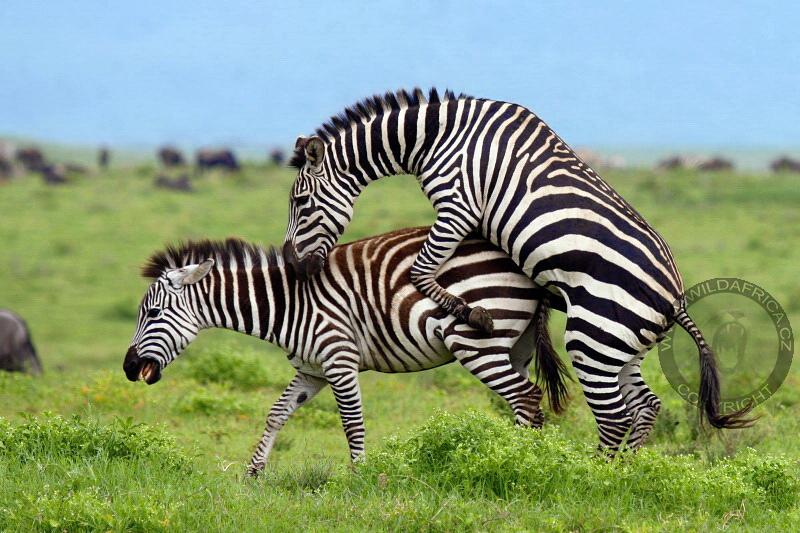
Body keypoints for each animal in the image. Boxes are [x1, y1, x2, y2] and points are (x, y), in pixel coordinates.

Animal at [122, 227, 568, 476]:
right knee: (527, 402)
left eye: (153, 312)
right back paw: (527, 459)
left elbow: (352, 423)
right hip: (514, 347)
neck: (289, 304)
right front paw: (253, 472)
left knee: (525, 397)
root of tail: (525, 268)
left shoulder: (339, 360)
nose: (128, 368)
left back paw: (520, 461)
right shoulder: (311, 370)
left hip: (476, 343)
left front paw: (358, 477)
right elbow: (276, 414)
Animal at [282, 88, 756, 454]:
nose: (290, 264)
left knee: (614, 418)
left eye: (301, 203)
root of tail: (675, 298)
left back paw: (596, 477)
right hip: (622, 347)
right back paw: (628, 470)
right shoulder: (472, 218)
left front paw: (470, 311)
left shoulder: (457, 205)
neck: (435, 137)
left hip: (593, 337)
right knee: (645, 407)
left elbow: (420, 271)